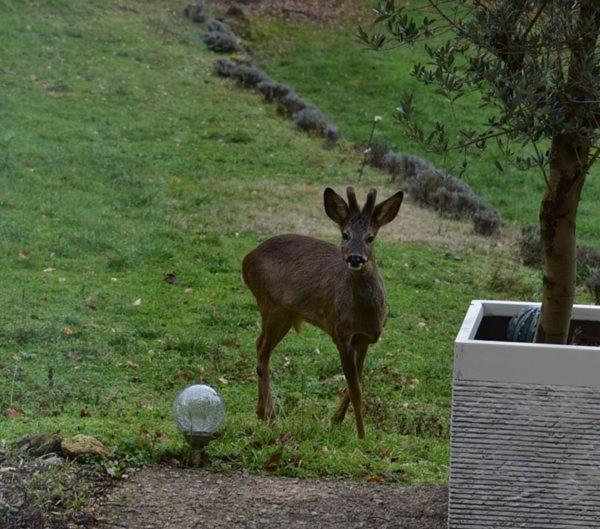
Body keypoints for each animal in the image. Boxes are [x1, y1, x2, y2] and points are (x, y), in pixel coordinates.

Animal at [240, 187, 404, 438]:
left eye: (370, 237)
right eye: (345, 235)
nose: (355, 258)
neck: (365, 314)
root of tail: (246, 259)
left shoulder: (365, 339)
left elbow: (358, 381)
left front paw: (337, 419)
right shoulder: (341, 334)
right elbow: (356, 390)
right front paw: (361, 436)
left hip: (284, 314)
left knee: (259, 345)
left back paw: (261, 413)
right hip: (272, 305)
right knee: (263, 353)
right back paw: (271, 416)